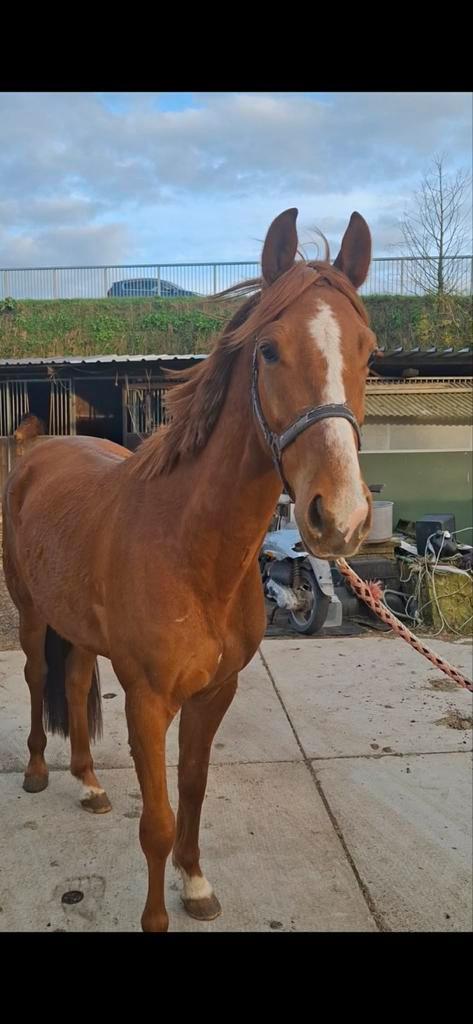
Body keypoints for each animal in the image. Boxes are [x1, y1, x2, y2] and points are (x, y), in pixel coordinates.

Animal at [2, 208, 377, 931]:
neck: (192, 551)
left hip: (81, 630)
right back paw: (36, 772)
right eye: (268, 350)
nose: (338, 515)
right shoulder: (149, 701)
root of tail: (39, 450)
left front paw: (196, 884)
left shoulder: (215, 693)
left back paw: (89, 783)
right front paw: (156, 916)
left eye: (368, 350)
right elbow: (156, 821)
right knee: (37, 677)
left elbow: (193, 793)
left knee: (76, 678)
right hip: (32, 611)